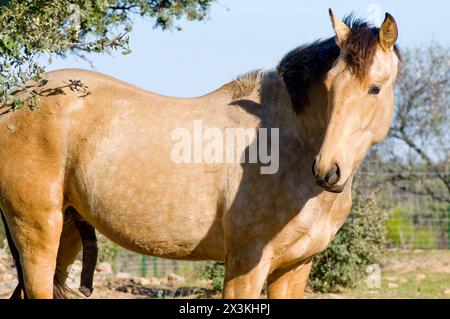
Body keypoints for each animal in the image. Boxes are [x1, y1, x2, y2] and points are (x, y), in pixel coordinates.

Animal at [0, 10, 400, 300]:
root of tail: (14, 99)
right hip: (36, 229)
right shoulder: (246, 262)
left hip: (67, 229)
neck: (289, 144)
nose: (328, 170)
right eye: (329, 86)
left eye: (375, 88)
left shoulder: (295, 267)